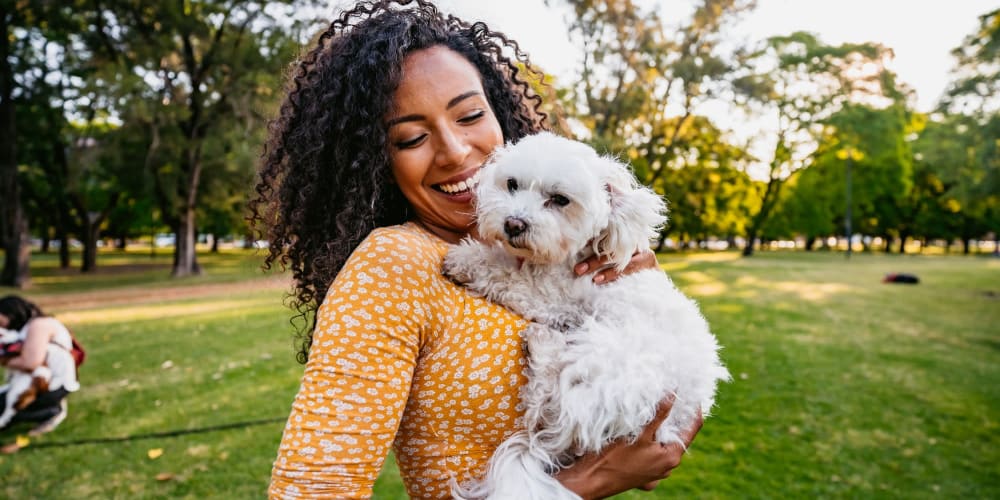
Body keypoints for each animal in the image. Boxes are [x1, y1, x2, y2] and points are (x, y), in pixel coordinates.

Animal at [444, 131, 728, 498]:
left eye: (560, 200)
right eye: (512, 184)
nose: (513, 224)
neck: (569, 258)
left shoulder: (553, 295)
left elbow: (507, 275)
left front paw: (466, 259)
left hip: (609, 361)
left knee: (547, 404)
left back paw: (543, 344)